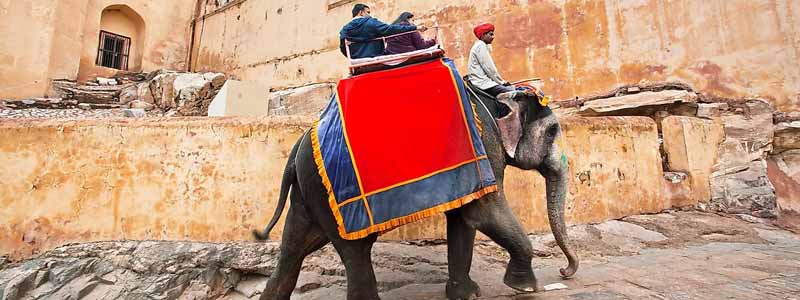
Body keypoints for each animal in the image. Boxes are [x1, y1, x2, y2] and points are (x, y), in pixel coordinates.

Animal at [253, 89, 580, 300]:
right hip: (330, 194)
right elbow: (483, 212)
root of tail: (297, 147)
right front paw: (526, 288)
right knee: (354, 250)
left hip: (308, 193)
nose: (564, 272)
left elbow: (464, 218)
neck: (491, 98)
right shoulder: (485, 146)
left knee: (296, 246)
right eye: (553, 131)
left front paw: (466, 295)